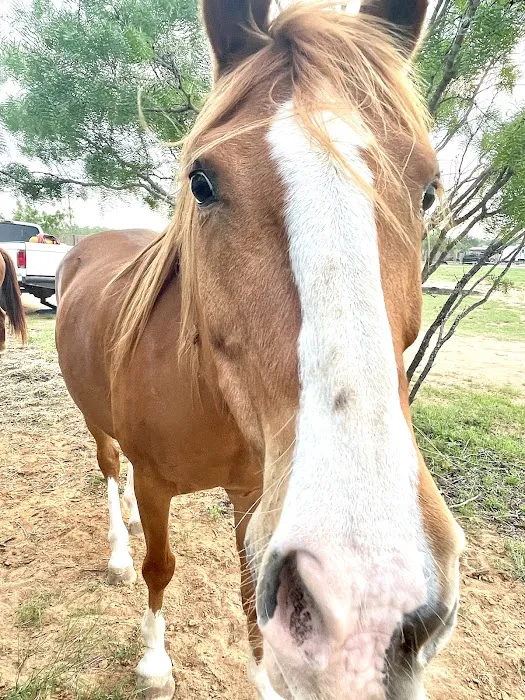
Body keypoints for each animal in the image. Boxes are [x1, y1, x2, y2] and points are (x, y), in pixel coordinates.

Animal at [55, 1, 465, 698]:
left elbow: (252, 595)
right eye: (201, 182)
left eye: (430, 189)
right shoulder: (161, 487)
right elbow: (161, 566)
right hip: (92, 418)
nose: (370, 599)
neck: (208, 398)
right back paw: (117, 548)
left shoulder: (253, 495)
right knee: (112, 469)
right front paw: (155, 664)